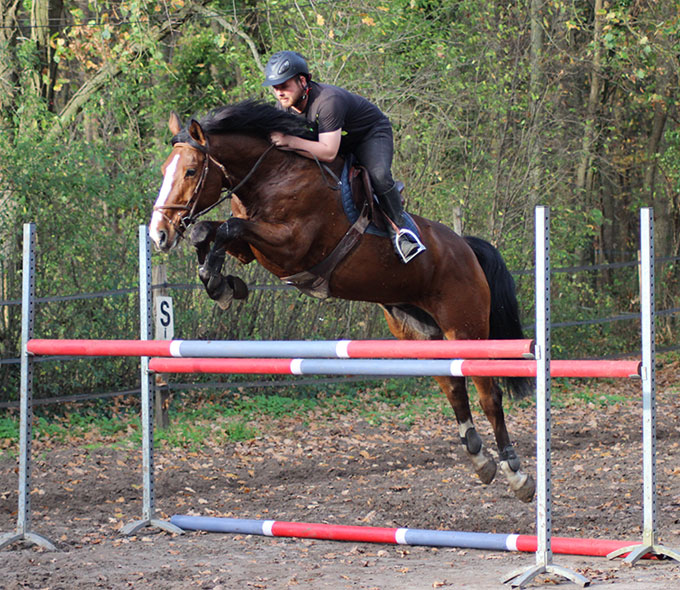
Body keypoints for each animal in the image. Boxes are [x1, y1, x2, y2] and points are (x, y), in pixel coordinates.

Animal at [149, 98, 536, 504]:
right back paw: (479, 458)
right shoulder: (254, 250)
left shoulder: (290, 245)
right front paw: (220, 283)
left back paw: (516, 473)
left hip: (466, 327)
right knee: (453, 386)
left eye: (191, 170)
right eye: (165, 170)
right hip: (419, 331)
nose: (158, 234)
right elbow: (208, 231)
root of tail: (467, 248)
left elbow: (226, 227)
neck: (272, 175)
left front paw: (218, 281)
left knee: (488, 393)